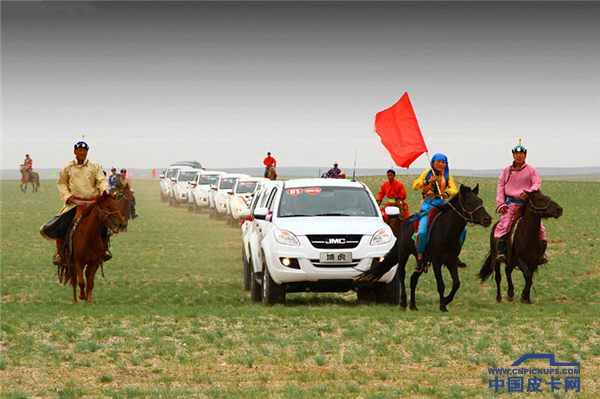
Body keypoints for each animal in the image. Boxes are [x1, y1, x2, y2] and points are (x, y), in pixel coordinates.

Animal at [360, 186, 492, 314]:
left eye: (480, 201)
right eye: (469, 203)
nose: (487, 219)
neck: (447, 231)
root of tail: (404, 224)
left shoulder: (452, 261)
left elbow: (456, 283)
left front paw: (446, 300)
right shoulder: (437, 262)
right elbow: (441, 285)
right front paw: (442, 306)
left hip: (422, 261)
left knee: (413, 279)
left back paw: (413, 306)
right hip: (403, 254)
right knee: (402, 274)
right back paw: (403, 303)